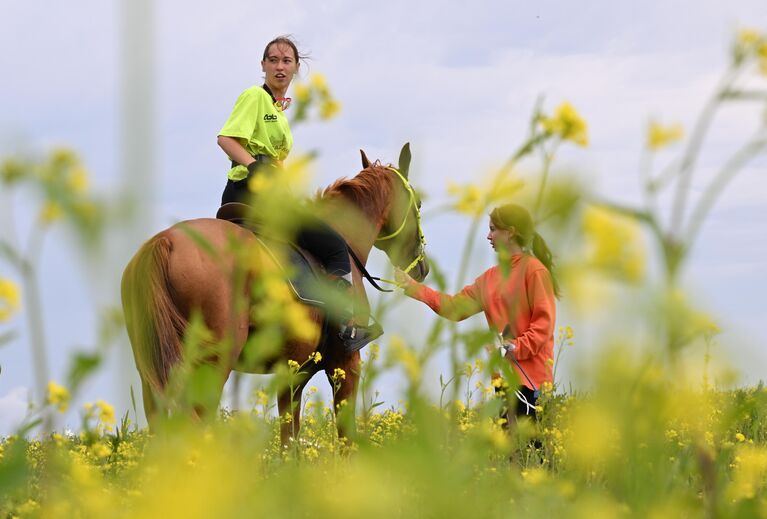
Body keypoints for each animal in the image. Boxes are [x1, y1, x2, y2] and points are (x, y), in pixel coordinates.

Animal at [123, 146, 428, 442]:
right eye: (419, 203)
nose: (422, 268)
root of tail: (166, 241)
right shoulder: (345, 362)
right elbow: (346, 439)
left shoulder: (293, 374)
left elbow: (288, 441)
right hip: (213, 363)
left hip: (152, 370)